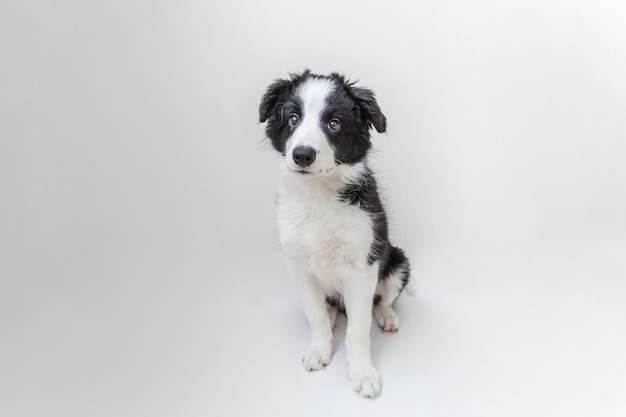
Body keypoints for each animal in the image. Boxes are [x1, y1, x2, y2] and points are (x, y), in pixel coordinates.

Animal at [258, 69, 410, 396]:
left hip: (398, 262)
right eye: (293, 118)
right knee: (325, 307)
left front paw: (363, 373)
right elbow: (315, 314)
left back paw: (387, 317)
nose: (302, 155)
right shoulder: (298, 265)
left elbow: (358, 328)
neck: (319, 194)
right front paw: (319, 350)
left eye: (334, 124)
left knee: (384, 299)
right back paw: (331, 316)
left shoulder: (362, 267)